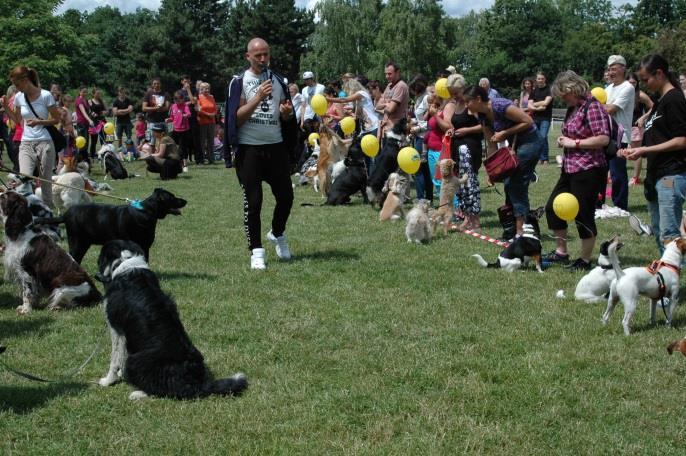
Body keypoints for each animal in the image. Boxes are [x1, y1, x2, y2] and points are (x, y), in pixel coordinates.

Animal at [38, 186, 187, 264]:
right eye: (172, 197)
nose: (185, 201)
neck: (146, 212)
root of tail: (65, 215)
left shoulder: (145, 247)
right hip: (77, 242)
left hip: (84, 243)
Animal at [95, 239, 249, 400]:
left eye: (100, 258)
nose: (96, 275)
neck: (126, 263)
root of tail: (196, 384)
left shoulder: (116, 328)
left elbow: (115, 359)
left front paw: (108, 381)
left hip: (135, 360)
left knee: (163, 391)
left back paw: (138, 393)